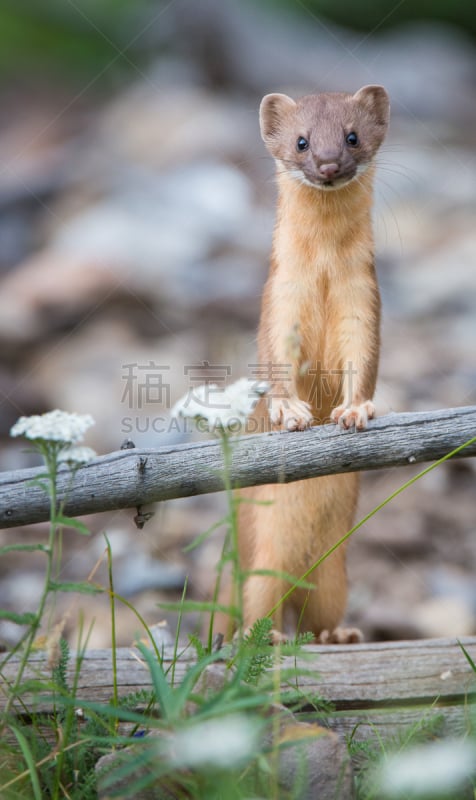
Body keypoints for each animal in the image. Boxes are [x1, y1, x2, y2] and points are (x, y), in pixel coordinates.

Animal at [218, 84, 388, 644]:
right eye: (301, 140)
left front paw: (355, 410)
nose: (329, 163)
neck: (326, 272)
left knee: (318, 612)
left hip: (335, 574)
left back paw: (340, 635)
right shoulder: (279, 298)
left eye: (352, 136)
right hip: (260, 562)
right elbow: (275, 359)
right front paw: (289, 411)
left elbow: (364, 357)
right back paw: (265, 635)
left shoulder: (364, 300)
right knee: (257, 602)